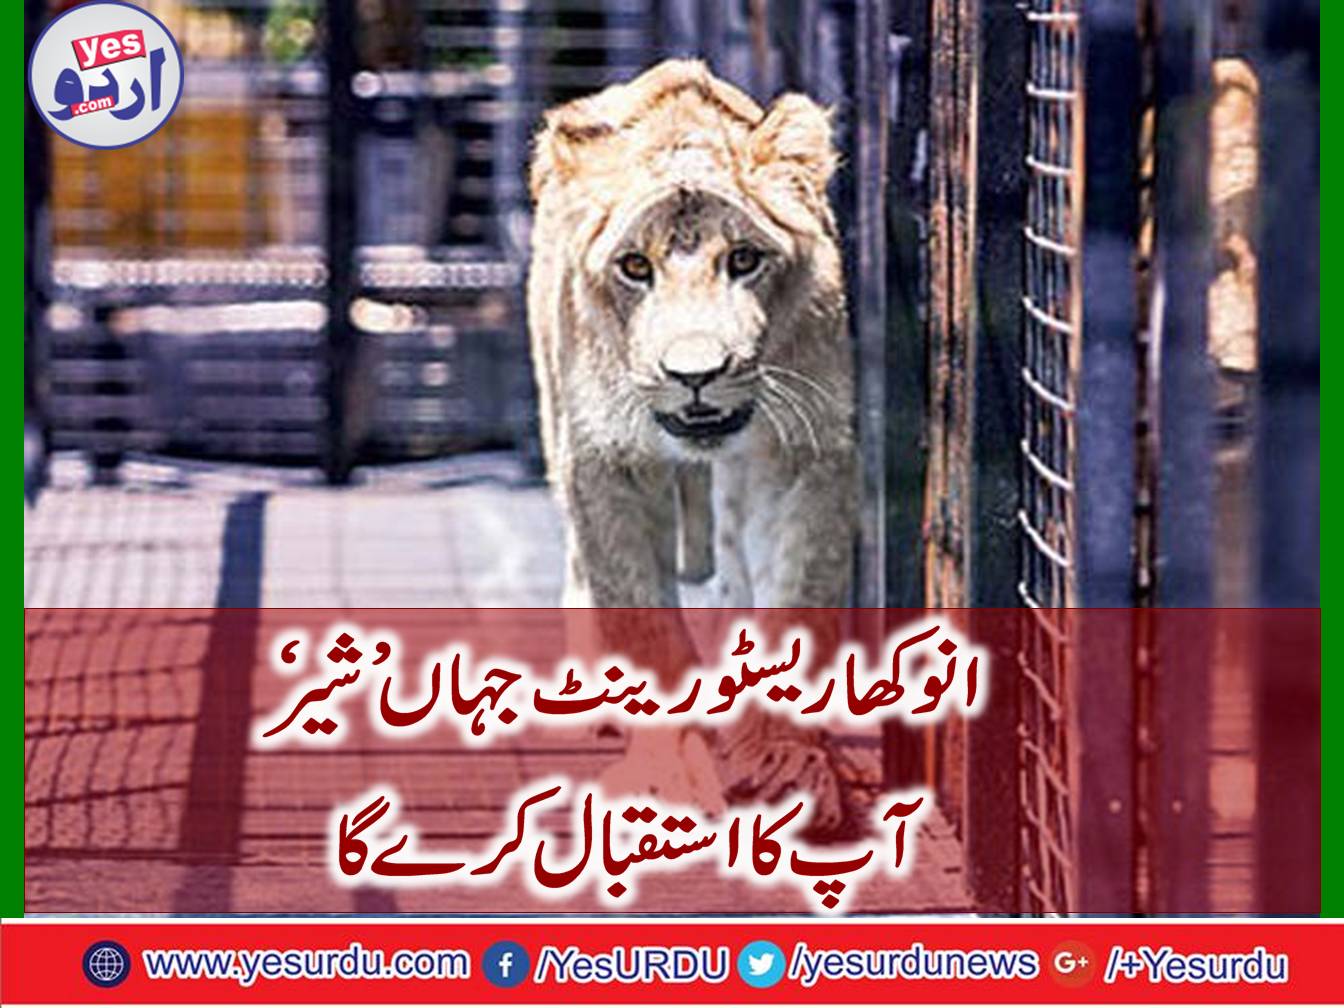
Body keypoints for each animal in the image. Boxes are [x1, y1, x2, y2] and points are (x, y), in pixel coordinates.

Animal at [526, 60, 858, 834]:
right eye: (634, 267)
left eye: (743, 259)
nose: (695, 375)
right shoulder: (604, 463)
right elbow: (641, 619)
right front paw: (671, 771)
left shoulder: (807, 451)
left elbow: (799, 597)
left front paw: (784, 758)